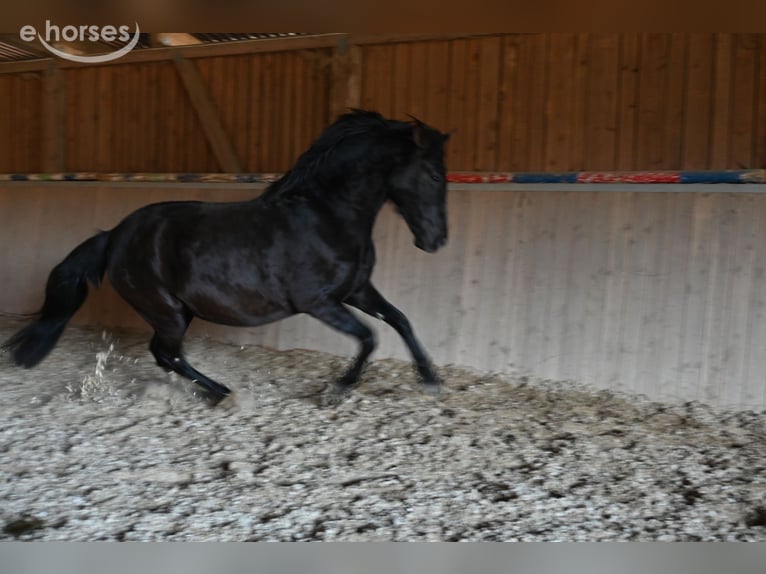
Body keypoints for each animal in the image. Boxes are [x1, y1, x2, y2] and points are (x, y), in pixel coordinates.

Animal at [3, 110, 450, 405]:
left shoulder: (356, 290)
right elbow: (369, 336)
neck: (326, 215)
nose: (437, 241)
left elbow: (400, 320)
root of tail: (114, 235)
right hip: (167, 311)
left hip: (178, 311)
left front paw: (431, 378)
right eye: (432, 175)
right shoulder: (319, 303)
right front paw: (337, 389)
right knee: (167, 353)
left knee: (165, 354)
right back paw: (222, 393)